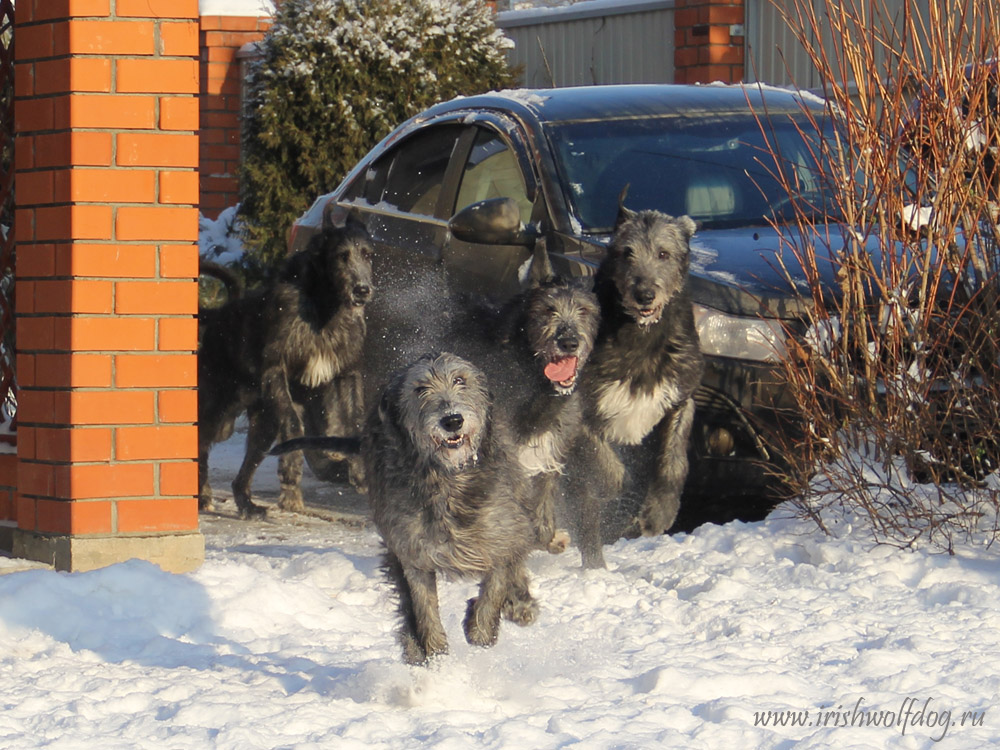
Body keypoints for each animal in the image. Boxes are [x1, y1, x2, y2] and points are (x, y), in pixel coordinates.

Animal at [272, 352, 540, 664]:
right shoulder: (412, 550)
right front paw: (436, 657)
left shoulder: (504, 533)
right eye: (420, 388)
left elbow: (497, 582)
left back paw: (519, 605)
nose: (452, 420)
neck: (449, 478)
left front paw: (482, 630)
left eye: (460, 380)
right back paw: (414, 647)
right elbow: (423, 606)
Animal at [576, 197, 708, 568]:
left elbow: (674, 461)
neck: (642, 339)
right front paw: (617, 498)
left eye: (663, 253)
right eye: (626, 252)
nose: (645, 294)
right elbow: (608, 468)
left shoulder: (680, 396)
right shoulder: (582, 410)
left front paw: (658, 513)